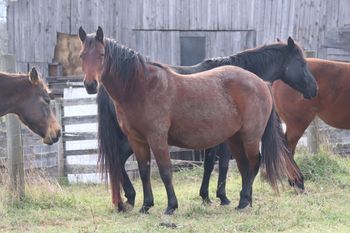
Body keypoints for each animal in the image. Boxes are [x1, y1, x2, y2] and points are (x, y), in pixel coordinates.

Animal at [78, 26, 300, 215]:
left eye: (101, 54)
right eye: (81, 56)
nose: (90, 85)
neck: (141, 87)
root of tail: (260, 83)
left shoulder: (157, 138)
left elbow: (166, 171)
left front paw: (171, 206)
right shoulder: (137, 140)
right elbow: (143, 171)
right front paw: (146, 206)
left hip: (250, 136)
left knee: (254, 163)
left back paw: (244, 201)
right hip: (236, 138)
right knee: (246, 165)